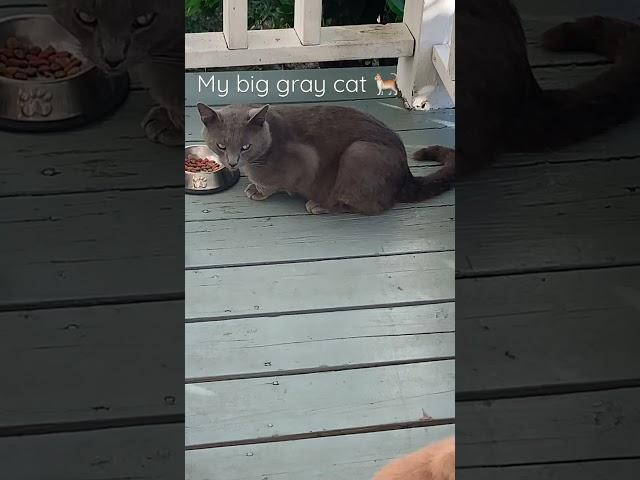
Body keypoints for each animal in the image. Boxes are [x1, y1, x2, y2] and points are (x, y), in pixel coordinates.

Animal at [198, 104, 452, 215]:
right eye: (221, 146)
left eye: (245, 147)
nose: (232, 162)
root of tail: (407, 175)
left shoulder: (305, 161)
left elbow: (272, 183)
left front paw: (256, 190)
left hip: (359, 152)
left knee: (370, 207)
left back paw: (319, 205)